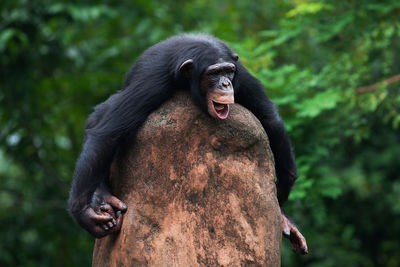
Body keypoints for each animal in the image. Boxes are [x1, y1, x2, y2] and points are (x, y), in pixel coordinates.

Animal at [68, 34, 310, 255]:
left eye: (228, 71)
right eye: (213, 73)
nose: (226, 83)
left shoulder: (242, 76)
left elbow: (269, 119)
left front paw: (283, 191)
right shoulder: (150, 82)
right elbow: (108, 132)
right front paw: (84, 214)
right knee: (100, 115)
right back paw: (102, 197)